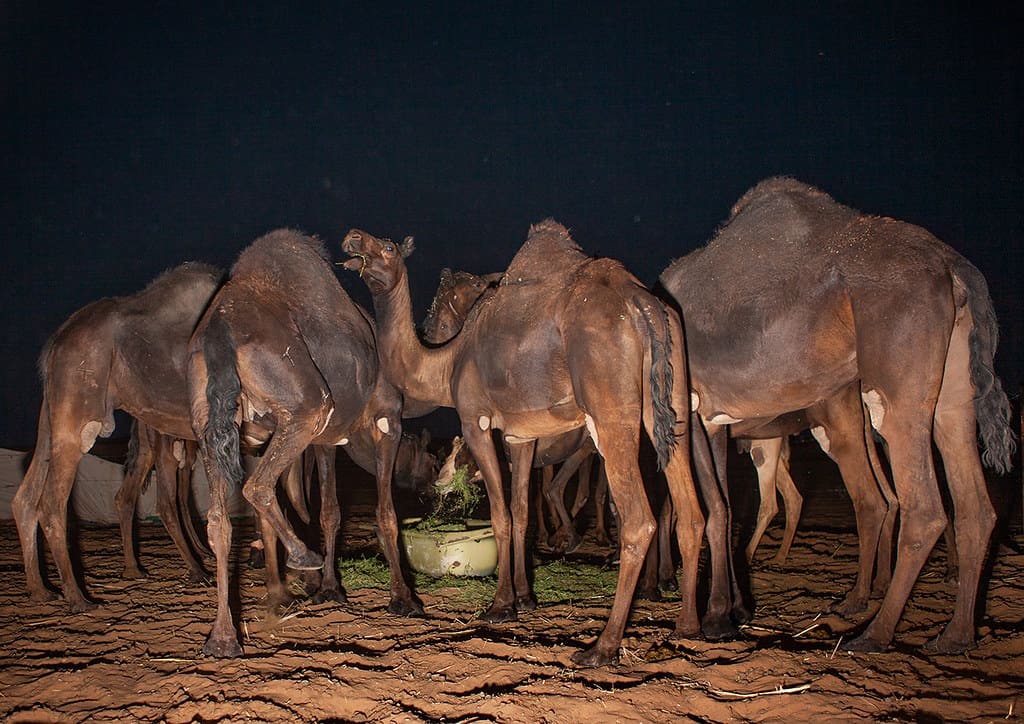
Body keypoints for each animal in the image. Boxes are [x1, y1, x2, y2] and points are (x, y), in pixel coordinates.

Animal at [188, 228, 423, 658]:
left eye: (388, 247)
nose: (355, 239)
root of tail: (219, 330)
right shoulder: (388, 421)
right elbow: (386, 513)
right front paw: (404, 599)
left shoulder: (327, 439)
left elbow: (330, 512)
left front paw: (330, 590)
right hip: (306, 406)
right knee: (257, 486)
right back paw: (303, 556)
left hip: (207, 423)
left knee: (218, 521)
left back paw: (223, 638)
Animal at [342, 220, 703, 666]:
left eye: (388, 247)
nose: (354, 238)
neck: (448, 359)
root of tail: (643, 304)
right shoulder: (522, 434)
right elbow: (521, 512)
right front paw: (525, 598)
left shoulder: (475, 419)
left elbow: (500, 515)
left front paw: (499, 606)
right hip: (672, 400)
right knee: (690, 512)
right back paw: (687, 627)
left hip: (610, 408)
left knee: (639, 519)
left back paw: (601, 647)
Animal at [659, 177, 1016, 653]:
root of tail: (953, 265)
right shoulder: (718, 419)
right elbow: (728, 506)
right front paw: (735, 610)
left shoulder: (691, 407)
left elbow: (714, 508)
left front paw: (712, 618)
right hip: (952, 393)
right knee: (973, 505)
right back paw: (953, 637)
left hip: (892, 391)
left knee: (918, 507)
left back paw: (873, 632)